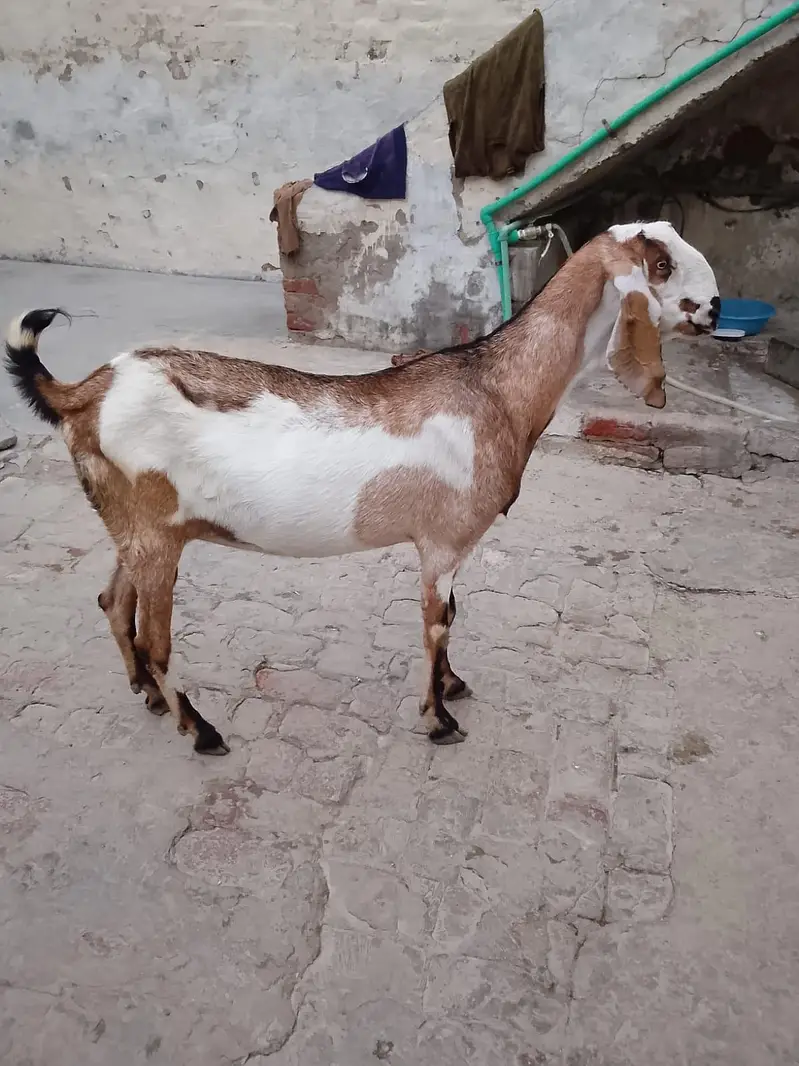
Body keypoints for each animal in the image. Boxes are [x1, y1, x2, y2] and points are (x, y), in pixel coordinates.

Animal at [5, 221, 719, 755]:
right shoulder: (442, 541)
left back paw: (152, 698)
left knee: (113, 602)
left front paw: (452, 689)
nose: (714, 308)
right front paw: (439, 721)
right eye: (660, 265)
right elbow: (437, 622)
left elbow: (452, 619)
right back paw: (201, 730)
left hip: (135, 527)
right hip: (156, 535)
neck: (494, 388)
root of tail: (83, 393)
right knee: (156, 638)